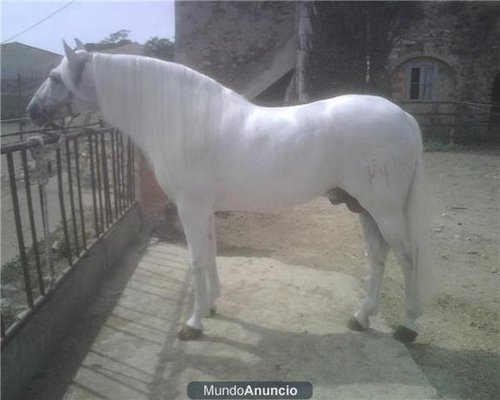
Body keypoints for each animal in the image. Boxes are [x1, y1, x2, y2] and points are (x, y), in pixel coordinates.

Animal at [28, 39, 434, 340]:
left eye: (54, 77)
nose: (32, 112)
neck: (185, 120)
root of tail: (404, 117)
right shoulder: (203, 209)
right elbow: (209, 253)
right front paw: (210, 308)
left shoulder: (190, 207)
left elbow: (195, 260)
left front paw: (192, 325)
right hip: (364, 207)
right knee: (378, 256)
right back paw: (361, 318)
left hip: (383, 208)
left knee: (408, 256)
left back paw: (407, 327)